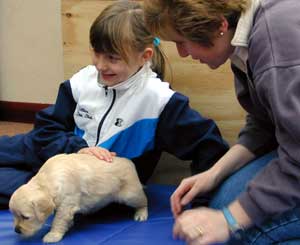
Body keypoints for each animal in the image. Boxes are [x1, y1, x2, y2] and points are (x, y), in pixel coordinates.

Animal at [9, 154, 148, 242]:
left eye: (25, 217)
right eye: (14, 216)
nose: (16, 230)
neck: (47, 180)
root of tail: (130, 162)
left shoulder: (66, 204)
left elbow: (58, 220)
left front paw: (53, 235)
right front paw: (69, 225)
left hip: (131, 194)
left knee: (144, 201)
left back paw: (141, 214)